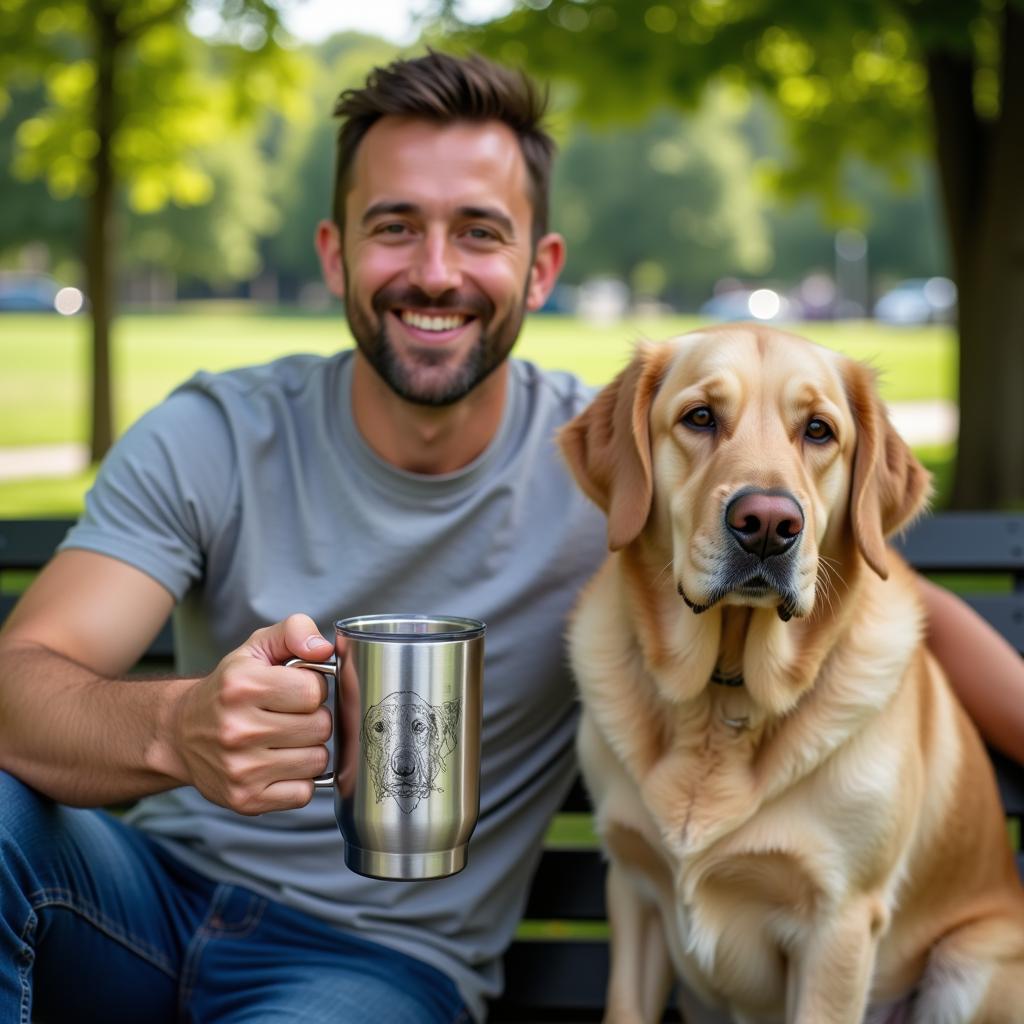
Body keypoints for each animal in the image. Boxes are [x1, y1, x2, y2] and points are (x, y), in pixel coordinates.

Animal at [561, 327, 1024, 1024]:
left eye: (818, 430)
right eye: (700, 417)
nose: (768, 525)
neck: (722, 693)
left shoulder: (839, 924)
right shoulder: (633, 888)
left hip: (970, 960)